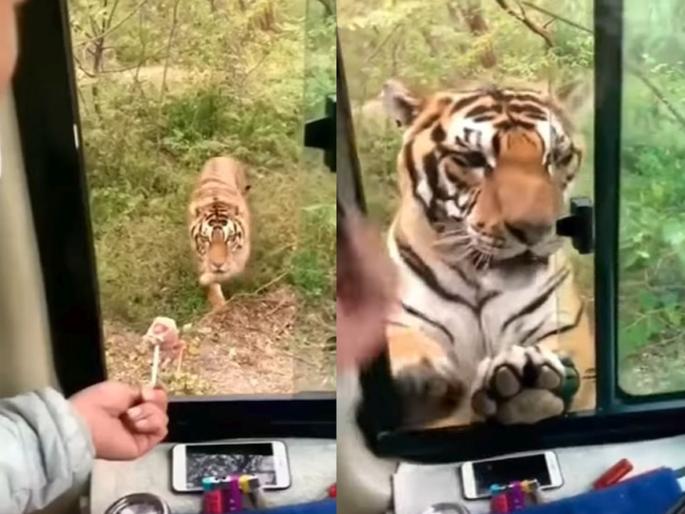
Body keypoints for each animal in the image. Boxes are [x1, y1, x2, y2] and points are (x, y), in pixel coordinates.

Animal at [188, 156, 251, 309]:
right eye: (205, 239)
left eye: (230, 238)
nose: (218, 265)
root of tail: (222, 156)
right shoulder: (199, 256)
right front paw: (219, 305)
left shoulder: (242, 254)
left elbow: (231, 271)